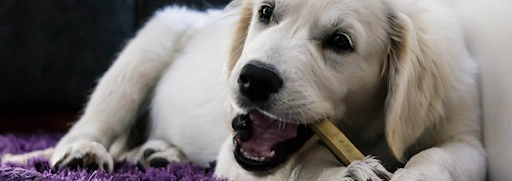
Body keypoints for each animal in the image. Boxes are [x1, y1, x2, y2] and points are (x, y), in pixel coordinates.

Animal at [8, 0, 486, 180]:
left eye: (340, 41)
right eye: (266, 11)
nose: (253, 77)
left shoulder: (466, 137)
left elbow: (436, 156)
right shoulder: (235, 157)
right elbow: (304, 167)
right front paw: (350, 171)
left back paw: (160, 153)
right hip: (150, 43)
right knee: (93, 123)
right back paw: (83, 152)